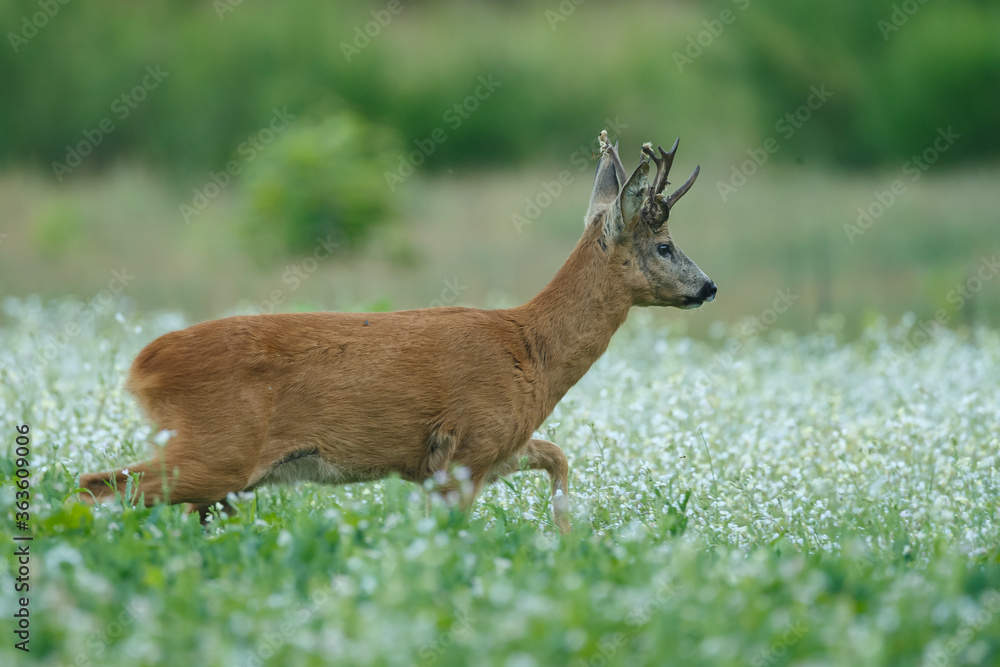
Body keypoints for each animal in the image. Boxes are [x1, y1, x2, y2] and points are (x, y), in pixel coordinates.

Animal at [79, 130, 716, 533]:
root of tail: (140, 367)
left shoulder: (496, 447)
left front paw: (566, 541)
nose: (708, 286)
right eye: (664, 245)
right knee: (96, 485)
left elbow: (559, 456)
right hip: (217, 450)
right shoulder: (468, 446)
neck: (531, 350)